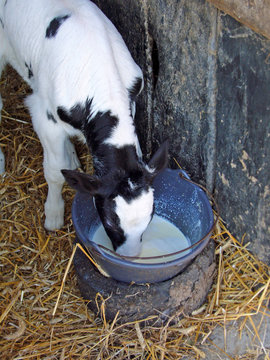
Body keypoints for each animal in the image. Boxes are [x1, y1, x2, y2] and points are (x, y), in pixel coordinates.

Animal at [0, 0, 168, 258]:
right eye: (109, 223)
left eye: (149, 220)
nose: (129, 258)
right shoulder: (43, 115)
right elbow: (54, 170)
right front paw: (54, 214)